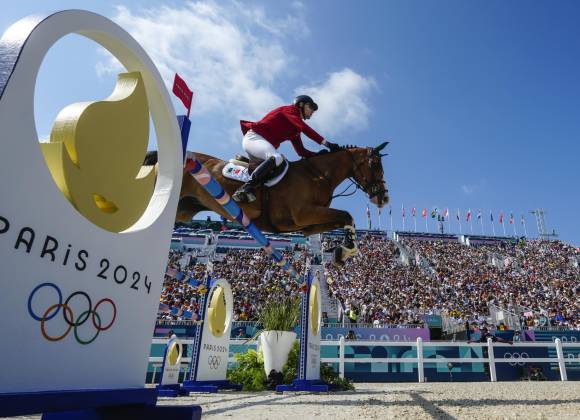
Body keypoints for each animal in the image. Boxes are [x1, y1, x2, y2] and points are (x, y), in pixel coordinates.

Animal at [146, 143, 390, 264]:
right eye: (375, 164)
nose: (384, 198)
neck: (318, 175)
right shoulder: (304, 213)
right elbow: (346, 214)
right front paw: (347, 249)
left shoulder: (307, 224)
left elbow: (343, 219)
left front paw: (342, 251)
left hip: (184, 209)